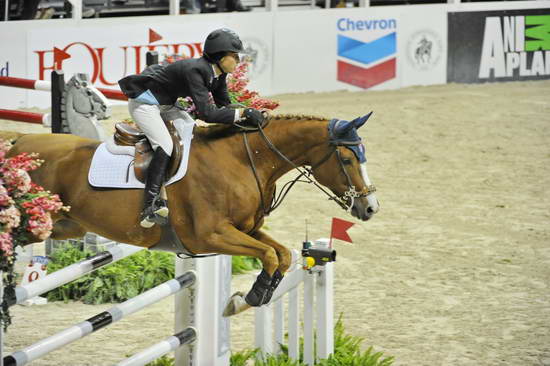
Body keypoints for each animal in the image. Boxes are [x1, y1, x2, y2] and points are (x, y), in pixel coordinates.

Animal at [6, 113, 382, 316]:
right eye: (347, 159)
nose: (369, 208)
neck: (244, 160)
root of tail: (20, 141)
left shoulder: (246, 229)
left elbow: (282, 255)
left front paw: (246, 299)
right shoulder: (211, 236)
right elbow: (271, 256)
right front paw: (246, 299)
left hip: (64, 227)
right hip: (37, 221)